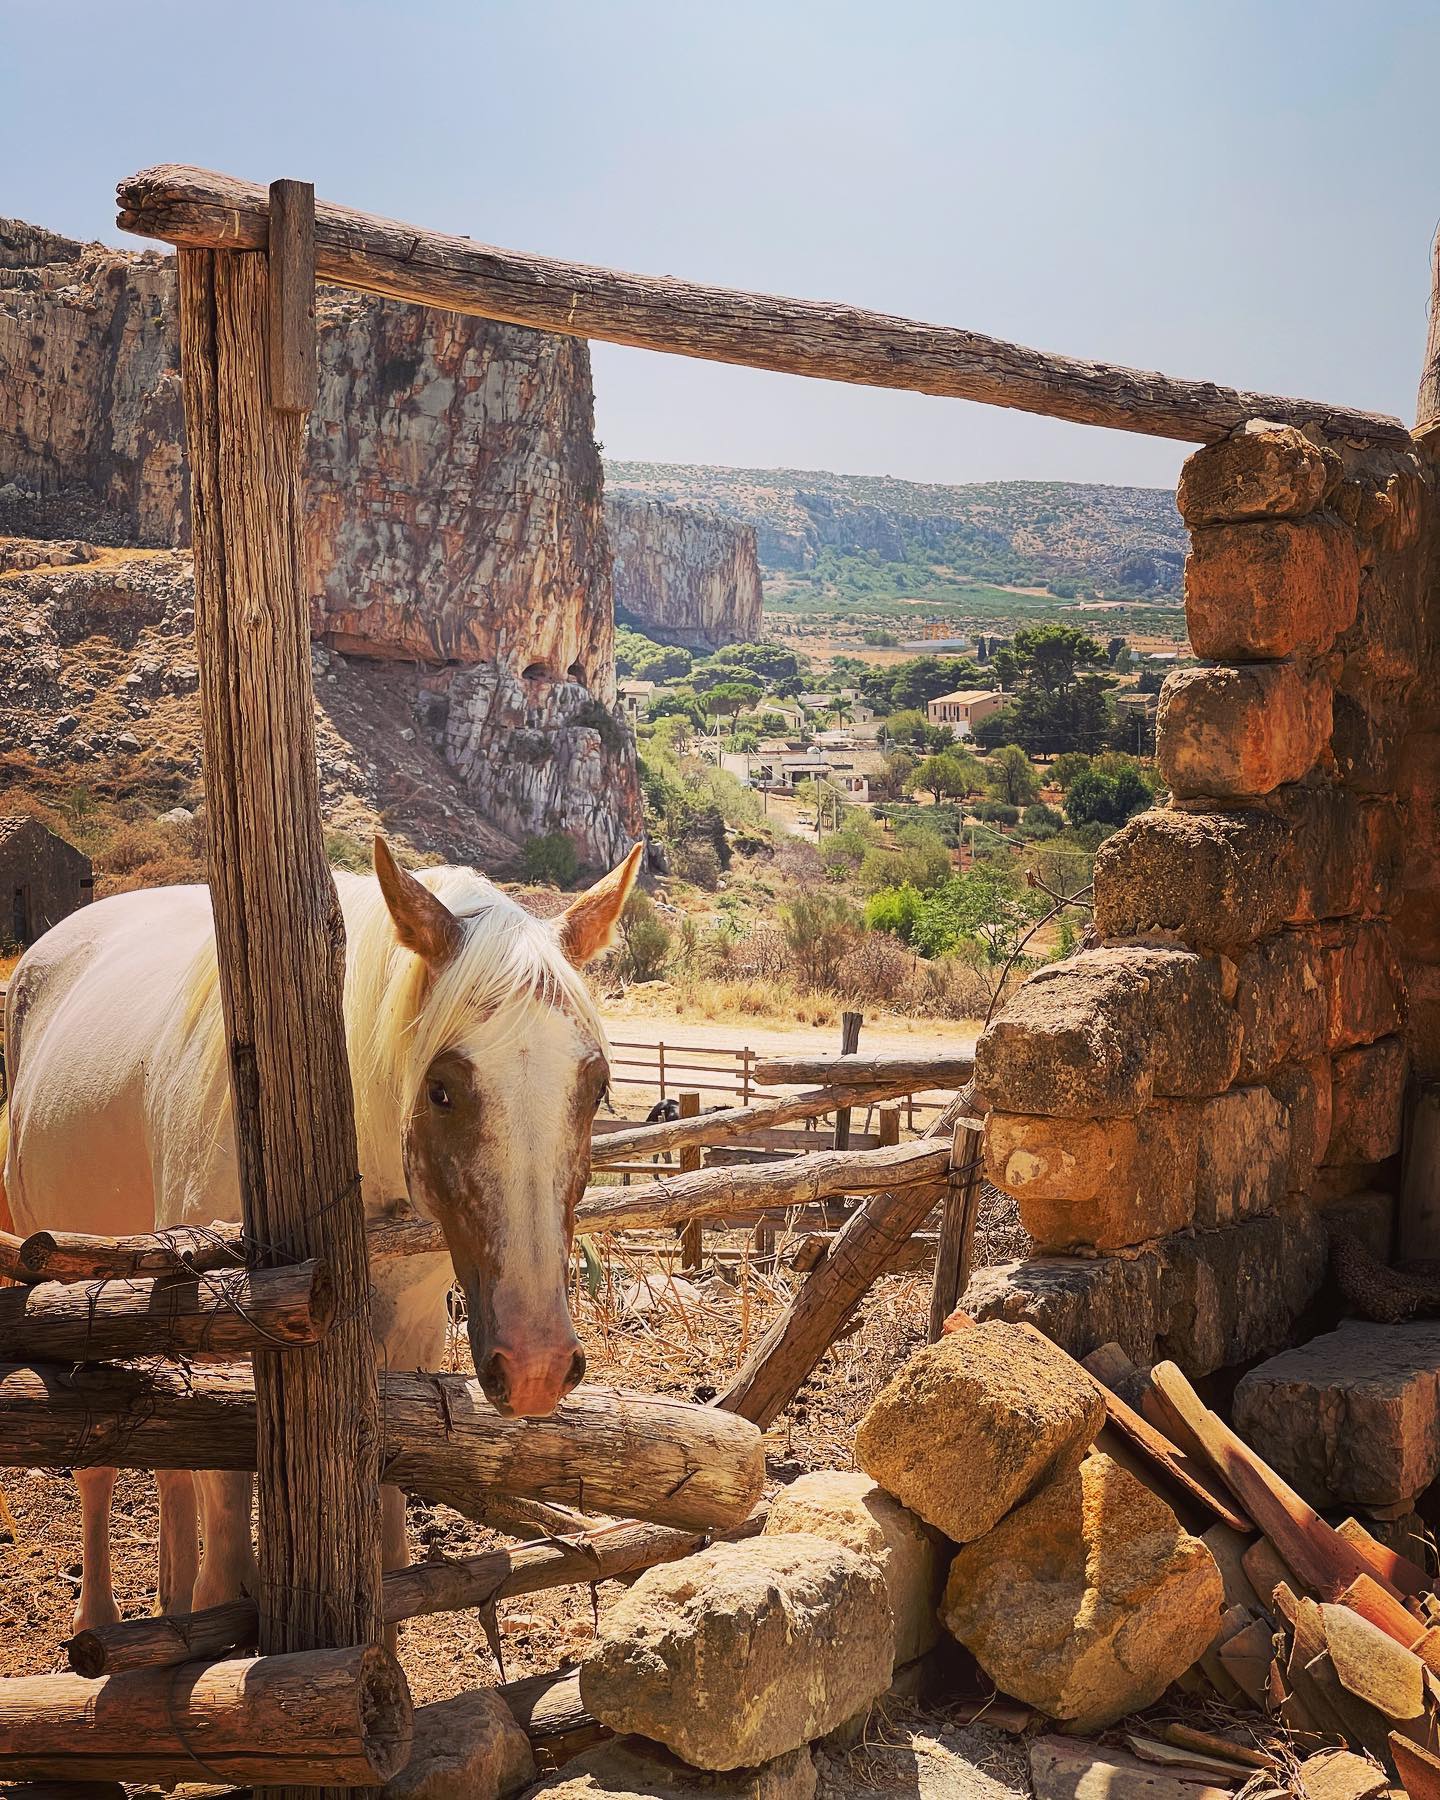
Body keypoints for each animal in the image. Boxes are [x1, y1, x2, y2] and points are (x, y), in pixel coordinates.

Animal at [0, 838, 640, 1634]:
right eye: (441, 1090)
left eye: (597, 1088)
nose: (536, 1369)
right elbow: (224, 1564)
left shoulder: (409, 1336)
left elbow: (388, 1556)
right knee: (102, 1468)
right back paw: (100, 1621)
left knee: (171, 1471)